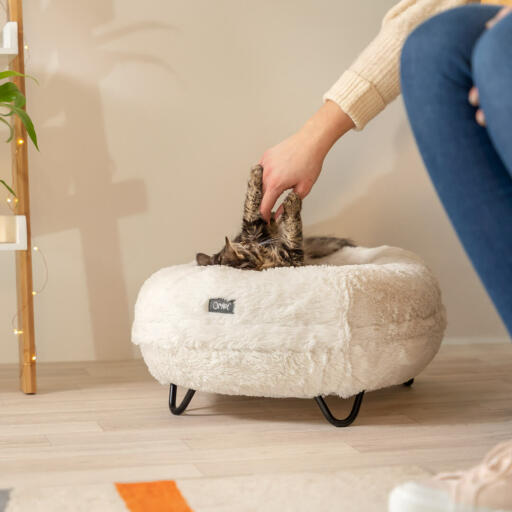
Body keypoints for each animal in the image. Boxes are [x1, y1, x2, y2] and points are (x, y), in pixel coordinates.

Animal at [194, 166, 354, 272]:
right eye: (246, 245)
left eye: (242, 243)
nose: (253, 242)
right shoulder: (291, 257)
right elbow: (292, 227)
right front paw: (292, 201)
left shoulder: (254, 230)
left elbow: (251, 210)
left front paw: (256, 172)